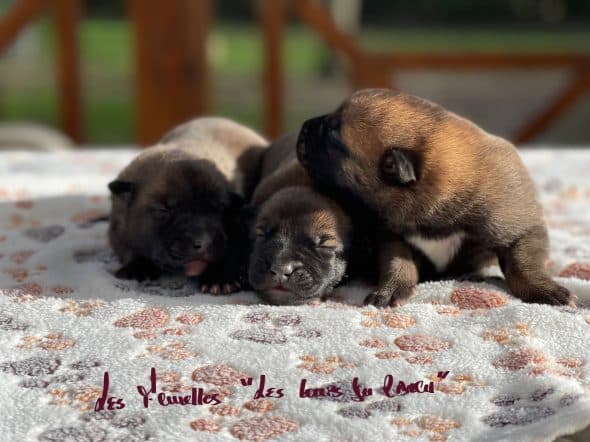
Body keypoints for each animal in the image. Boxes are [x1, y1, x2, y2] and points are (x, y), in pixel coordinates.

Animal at [108, 116, 268, 294]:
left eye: (220, 208)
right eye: (163, 210)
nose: (204, 243)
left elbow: (233, 248)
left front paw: (219, 278)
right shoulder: (118, 228)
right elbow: (129, 247)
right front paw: (137, 267)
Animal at [298, 87, 576, 308]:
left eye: (332, 133)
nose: (302, 126)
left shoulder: (518, 227)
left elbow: (523, 264)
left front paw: (545, 291)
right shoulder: (393, 238)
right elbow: (398, 263)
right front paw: (390, 290)